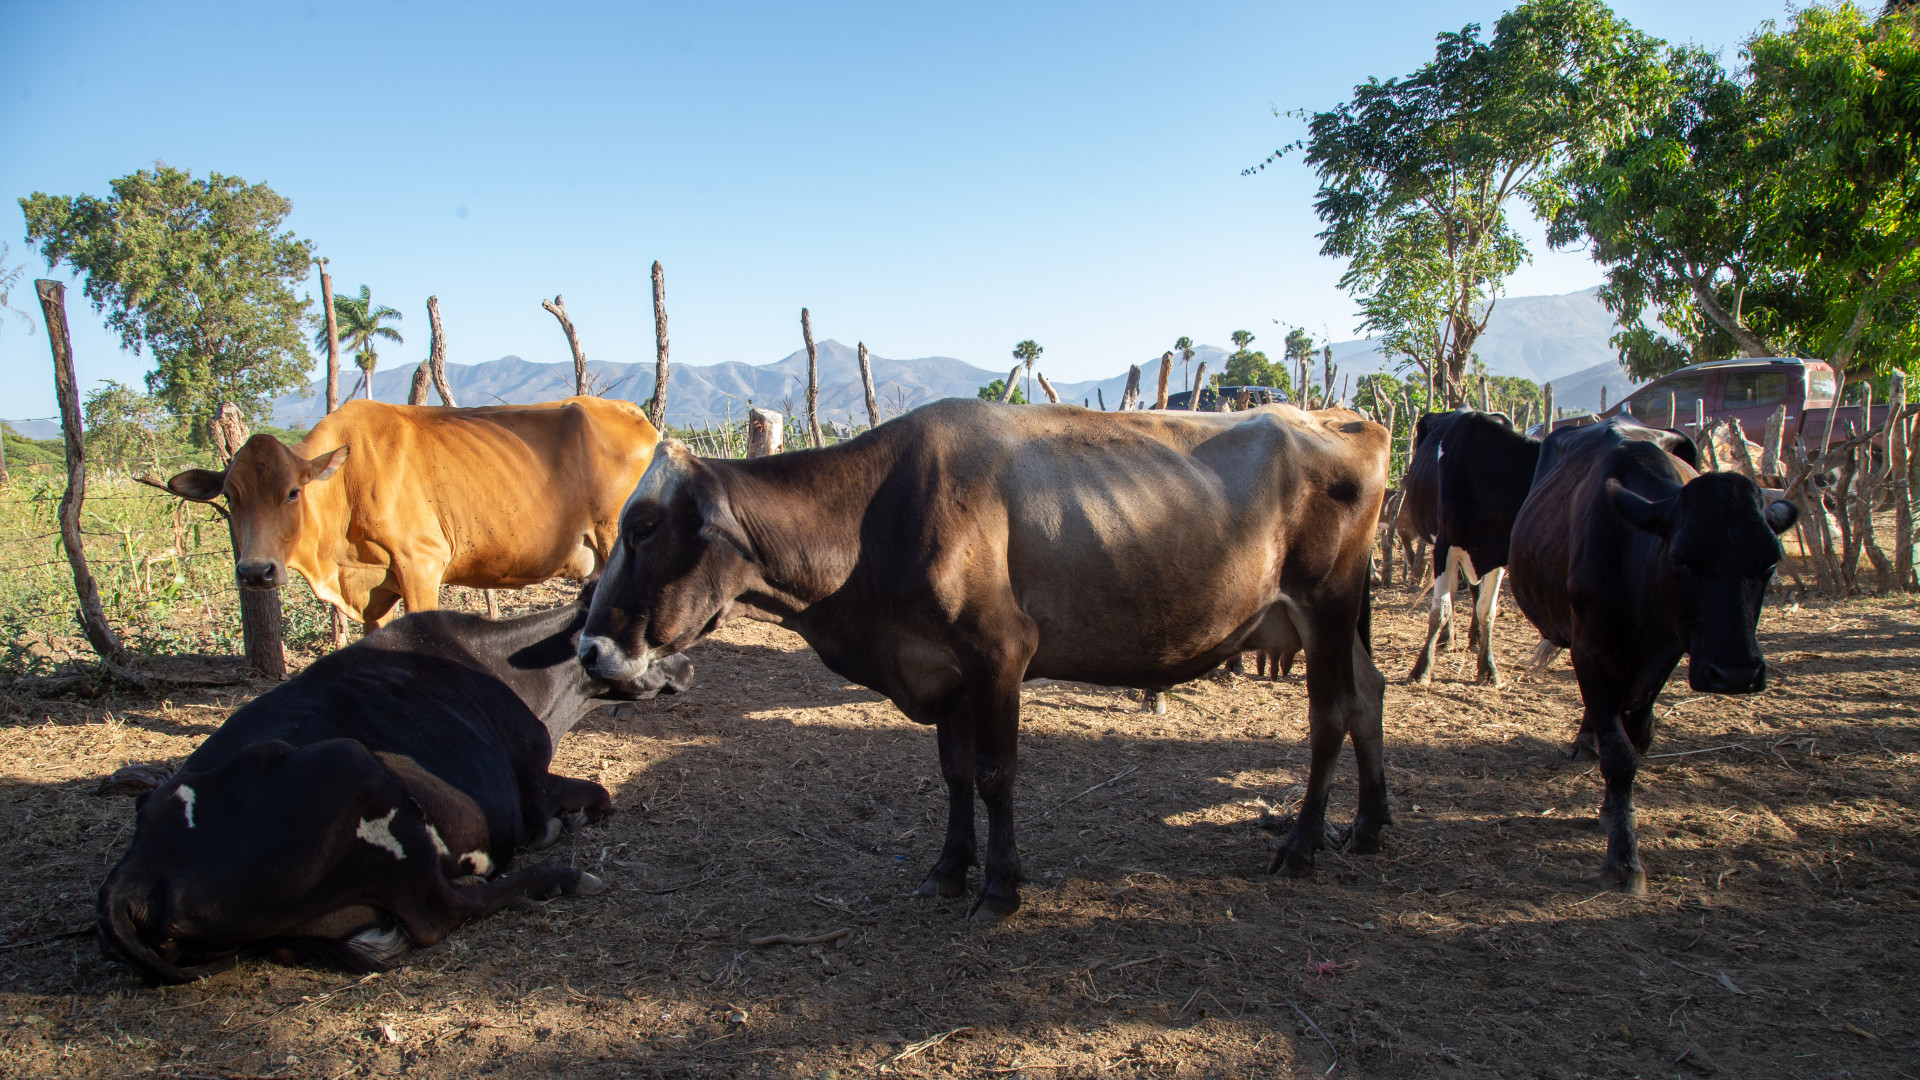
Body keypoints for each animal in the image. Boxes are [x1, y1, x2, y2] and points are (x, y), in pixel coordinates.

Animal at [96, 587, 693, 982]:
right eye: (652, 637)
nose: (688, 667)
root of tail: (135, 872)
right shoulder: (532, 786)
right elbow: (598, 794)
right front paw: (560, 828)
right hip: (350, 766)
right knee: (439, 913)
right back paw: (556, 879)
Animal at [165, 397, 660, 628]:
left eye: (291, 493)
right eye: (230, 496)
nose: (255, 571)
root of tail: (636, 416)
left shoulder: (420, 563)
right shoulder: (375, 589)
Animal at [576, 398, 1390, 923]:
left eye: (643, 526)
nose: (587, 648)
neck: (876, 521)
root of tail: (1342, 417)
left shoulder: (999, 652)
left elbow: (998, 775)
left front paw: (999, 887)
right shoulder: (945, 670)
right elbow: (957, 774)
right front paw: (947, 869)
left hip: (1324, 606)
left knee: (1330, 718)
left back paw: (1303, 845)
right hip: (1334, 623)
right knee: (1370, 697)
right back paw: (1371, 826)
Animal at [1398, 410, 1541, 687]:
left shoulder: (1499, 555)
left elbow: (1487, 610)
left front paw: (1488, 667)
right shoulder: (1444, 546)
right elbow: (1441, 608)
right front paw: (1422, 668)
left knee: (1473, 591)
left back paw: (1473, 639)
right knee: (1453, 592)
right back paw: (1447, 638)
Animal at [1507, 417, 1796, 894]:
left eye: (1770, 563)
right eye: (1681, 559)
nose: (1736, 673)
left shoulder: (1667, 652)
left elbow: (1637, 735)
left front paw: (1615, 810)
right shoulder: (1589, 649)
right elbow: (1619, 753)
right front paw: (1623, 858)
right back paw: (1586, 742)